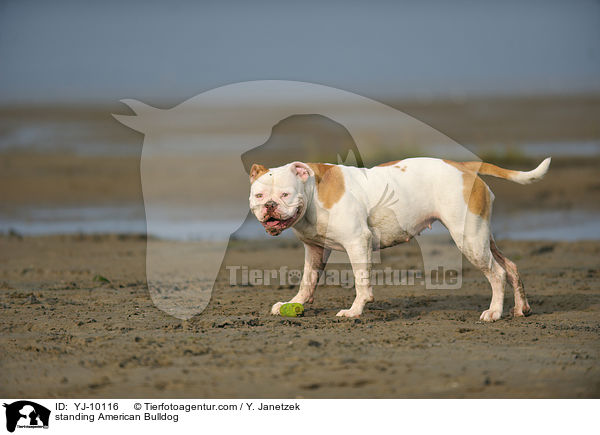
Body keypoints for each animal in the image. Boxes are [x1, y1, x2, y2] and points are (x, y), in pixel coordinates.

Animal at [246, 158, 552, 322]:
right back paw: (521, 308)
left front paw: (355, 310)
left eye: (285, 194)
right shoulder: (315, 250)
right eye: (259, 195)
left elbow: (361, 283)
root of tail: (464, 166)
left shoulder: (357, 242)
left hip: (469, 240)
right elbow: (307, 281)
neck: (311, 193)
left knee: (497, 273)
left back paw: (494, 312)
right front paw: (294, 302)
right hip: (481, 238)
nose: (270, 206)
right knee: (510, 266)